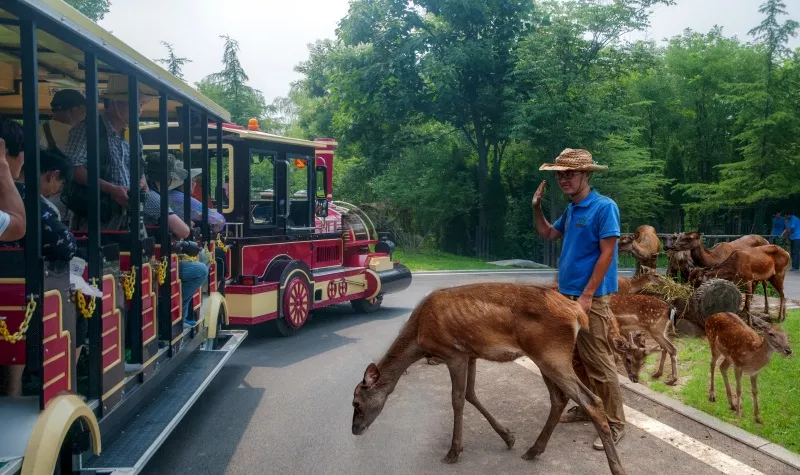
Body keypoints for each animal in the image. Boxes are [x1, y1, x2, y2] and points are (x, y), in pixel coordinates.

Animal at [354, 284, 628, 474]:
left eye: (356, 402)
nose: (355, 429)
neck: (419, 337)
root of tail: (577, 313)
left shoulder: (453, 353)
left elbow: (457, 399)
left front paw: (453, 451)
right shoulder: (470, 354)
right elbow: (470, 394)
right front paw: (508, 437)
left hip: (553, 354)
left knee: (591, 401)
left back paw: (617, 467)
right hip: (544, 358)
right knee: (558, 399)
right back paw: (533, 450)